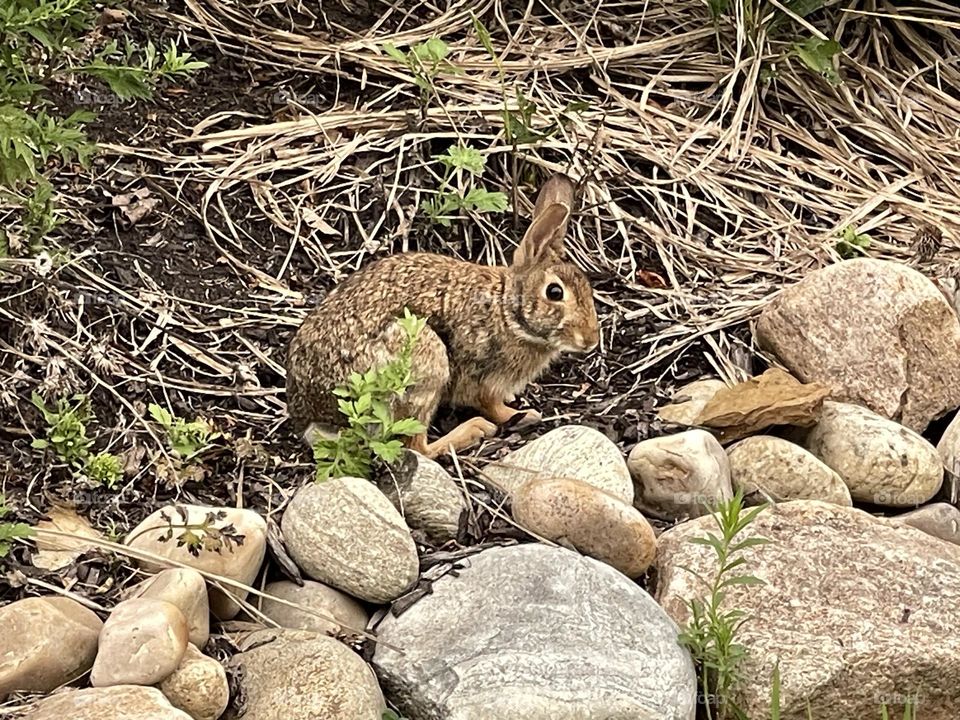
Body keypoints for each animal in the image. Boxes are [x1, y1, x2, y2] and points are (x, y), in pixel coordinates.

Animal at [284, 172, 600, 459]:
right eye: (555, 292)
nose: (591, 340)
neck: (507, 312)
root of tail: (316, 418)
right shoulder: (482, 375)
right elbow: (491, 404)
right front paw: (522, 414)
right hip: (424, 362)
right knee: (416, 447)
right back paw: (473, 430)